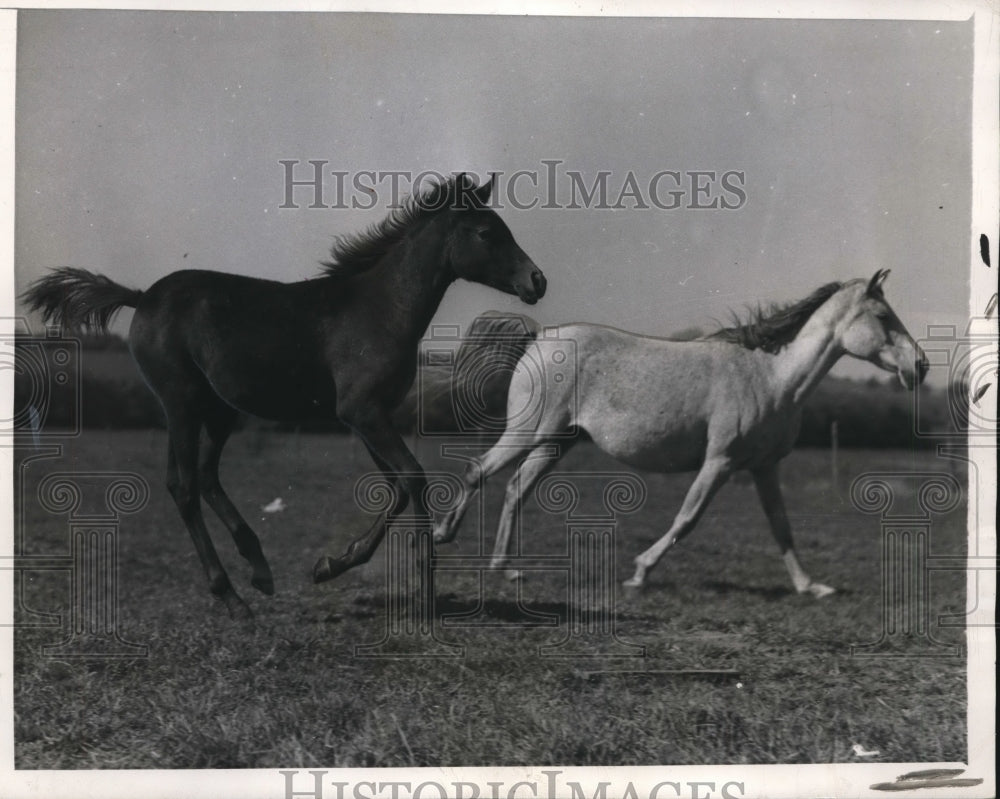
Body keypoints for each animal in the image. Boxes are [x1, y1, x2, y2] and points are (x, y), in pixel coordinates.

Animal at [23, 173, 544, 620]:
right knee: (185, 486)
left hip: (219, 410)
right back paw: (233, 597)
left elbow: (397, 486)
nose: (537, 281)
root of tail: (142, 297)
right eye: (486, 232)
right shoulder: (361, 412)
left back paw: (259, 569)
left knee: (204, 478)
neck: (380, 309)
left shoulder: (368, 417)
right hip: (181, 402)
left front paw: (331, 565)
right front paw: (423, 586)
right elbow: (413, 478)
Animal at [438, 272, 928, 596]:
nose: (920, 366)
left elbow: (782, 527)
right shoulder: (720, 462)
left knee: (515, 488)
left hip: (556, 443)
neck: (771, 377)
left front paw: (811, 586)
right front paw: (639, 573)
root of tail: (541, 335)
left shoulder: (764, 467)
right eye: (883, 315)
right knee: (478, 470)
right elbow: (687, 518)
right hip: (527, 433)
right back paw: (445, 535)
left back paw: (505, 569)